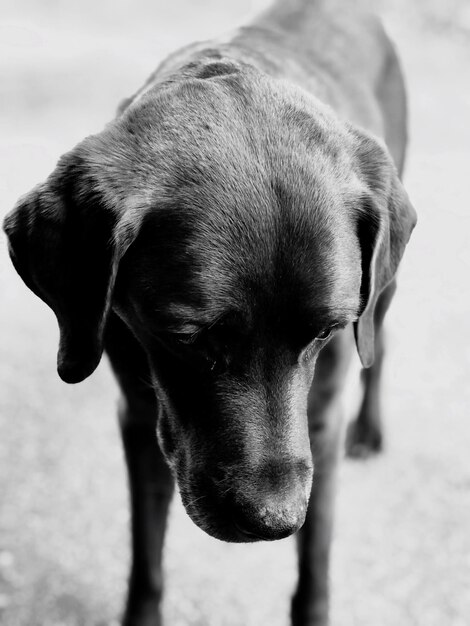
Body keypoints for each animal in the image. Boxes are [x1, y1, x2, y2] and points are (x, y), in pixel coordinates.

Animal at [2, 1, 414, 624]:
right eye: (185, 337)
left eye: (326, 331)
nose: (275, 522)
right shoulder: (139, 418)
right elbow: (147, 553)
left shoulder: (321, 418)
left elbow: (315, 561)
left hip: (382, 288)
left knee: (381, 346)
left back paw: (369, 430)